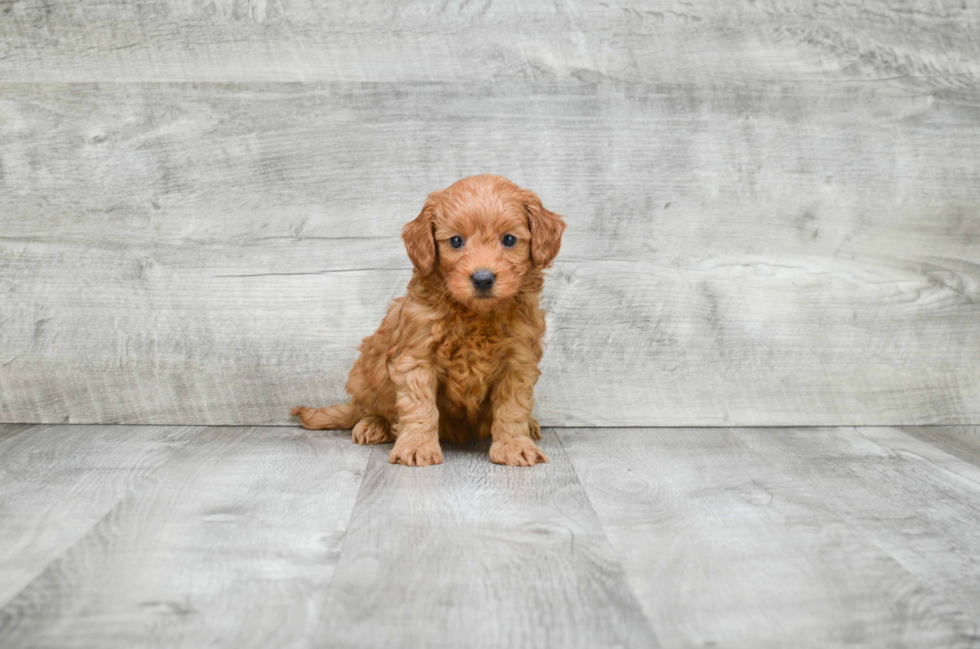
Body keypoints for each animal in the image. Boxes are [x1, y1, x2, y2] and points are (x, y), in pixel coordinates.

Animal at [290, 173, 564, 466]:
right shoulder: (416, 356)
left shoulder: (518, 360)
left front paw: (514, 445)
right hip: (365, 373)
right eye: (456, 242)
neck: (475, 315)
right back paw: (374, 425)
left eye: (509, 240)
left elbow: (513, 408)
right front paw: (417, 446)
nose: (482, 278)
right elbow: (419, 406)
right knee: (370, 407)